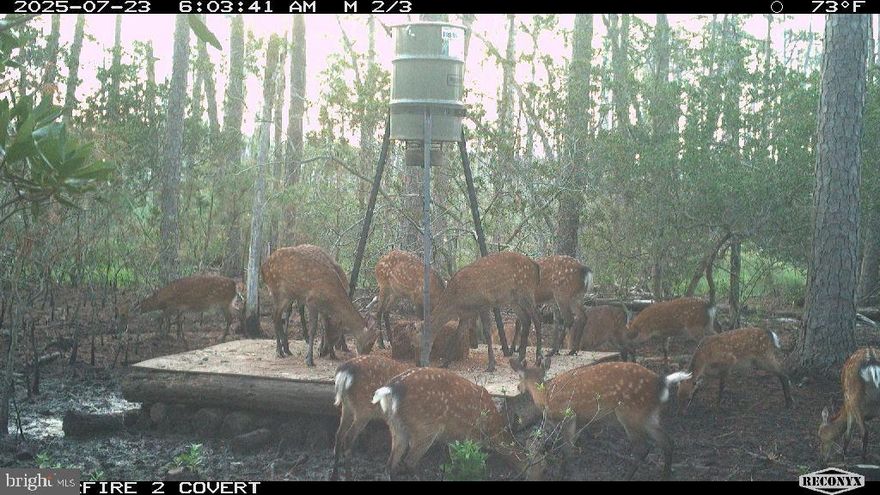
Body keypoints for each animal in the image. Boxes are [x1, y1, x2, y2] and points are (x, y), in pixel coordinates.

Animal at [371, 366, 540, 479]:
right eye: (541, 469)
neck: (492, 430)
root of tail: (392, 388)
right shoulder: (471, 435)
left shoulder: (454, 438)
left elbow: (455, 461)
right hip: (424, 427)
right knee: (409, 461)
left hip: (395, 426)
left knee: (390, 464)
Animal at [510, 356, 691, 480]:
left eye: (519, 376)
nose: (518, 387)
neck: (545, 396)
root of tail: (662, 382)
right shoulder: (577, 422)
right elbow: (566, 449)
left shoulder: (568, 415)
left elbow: (567, 451)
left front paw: (566, 475)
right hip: (649, 416)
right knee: (667, 442)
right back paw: (665, 476)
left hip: (629, 413)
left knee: (642, 448)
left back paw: (625, 477)